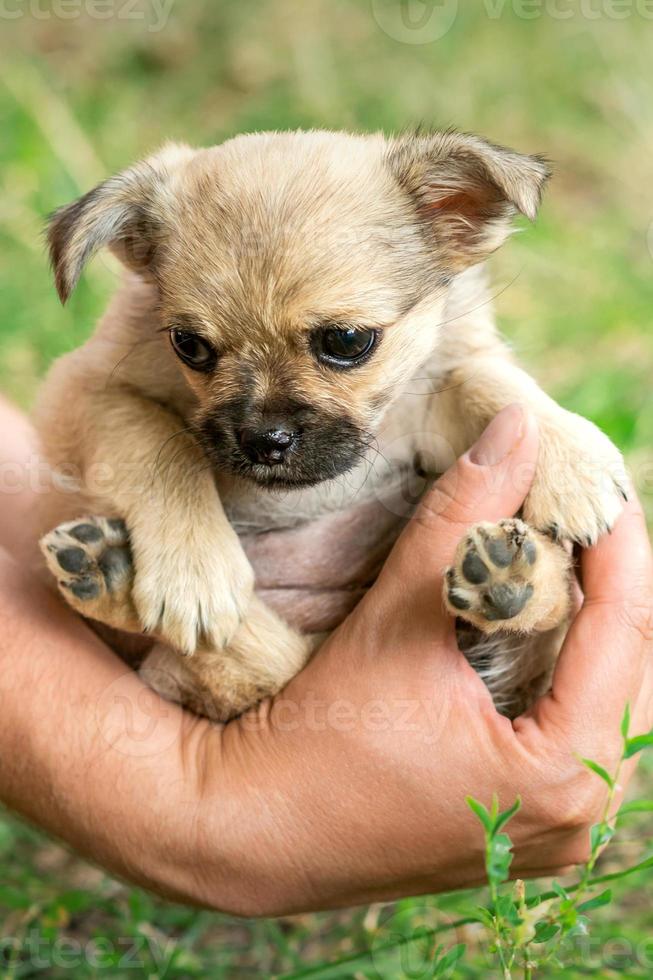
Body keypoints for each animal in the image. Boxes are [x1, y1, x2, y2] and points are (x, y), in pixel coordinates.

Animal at [35, 130, 628, 716]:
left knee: (539, 615)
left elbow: (491, 382)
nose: (263, 440)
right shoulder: (86, 390)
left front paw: (572, 460)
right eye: (189, 345)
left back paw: (508, 579)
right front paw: (194, 569)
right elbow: (159, 443)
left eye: (346, 341)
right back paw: (110, 573)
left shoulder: (434, 387)